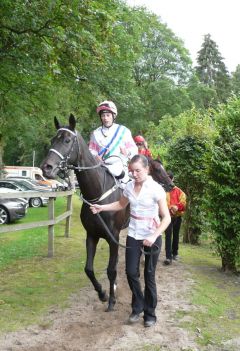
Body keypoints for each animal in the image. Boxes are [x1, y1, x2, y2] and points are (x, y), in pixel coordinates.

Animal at [40, 114, 172, 312]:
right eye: (52, 140)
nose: (46, 167)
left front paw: (111, 301)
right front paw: (102, 293)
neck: (98, 194)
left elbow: (111, 270)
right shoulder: (92, 235)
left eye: (67, 140)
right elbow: (89, 269)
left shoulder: (113, 237)